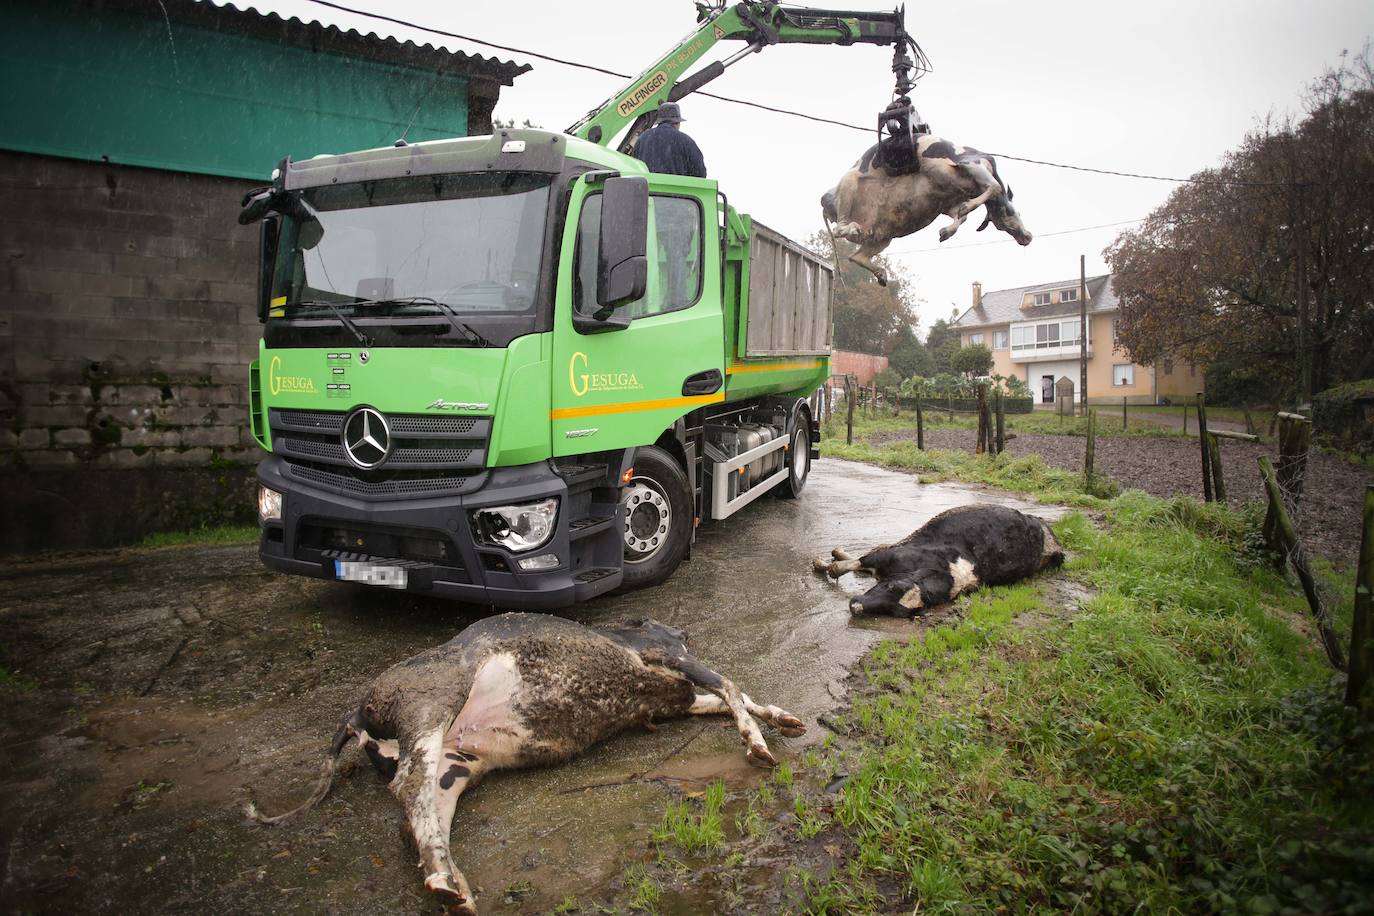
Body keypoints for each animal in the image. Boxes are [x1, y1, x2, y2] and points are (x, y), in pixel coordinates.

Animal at [244, 612, 802, 911]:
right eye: (674, 638)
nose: (682, 634)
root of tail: (356, 709)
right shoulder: (668, 659)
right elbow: (730, 685)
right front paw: (758, 744)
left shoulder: (667, 700)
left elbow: (729, 697)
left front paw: (785, 718)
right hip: (433, 702)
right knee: (408, 784)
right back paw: (446, 881)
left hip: (457, 765)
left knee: (417, 816)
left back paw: (450, 886)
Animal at [813, 134, 1033, 284]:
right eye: (1010, 214)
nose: (1027, 237)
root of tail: (826, 200)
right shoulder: (970, 164)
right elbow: (994, 187)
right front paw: (965, 209)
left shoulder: (946, 201)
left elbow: (960, 216)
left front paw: (946, 231)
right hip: (849, 183)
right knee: (840, 229)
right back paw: (852, 228)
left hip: (882, 237)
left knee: (856, 256)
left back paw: (881, 274)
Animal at [813, 505, 1060, 620]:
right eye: (891, 587)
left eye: (894, 611)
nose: (856, 607)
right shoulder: (889, 555)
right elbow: (842, 567)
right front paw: (820, 562)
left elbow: (846, 567)